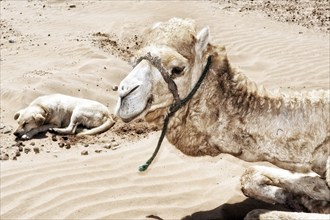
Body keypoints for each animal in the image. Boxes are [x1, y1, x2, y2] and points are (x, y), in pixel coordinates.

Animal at [114, 18, 328, 219]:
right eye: (134, 61)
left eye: (177, 69)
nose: (124, 94)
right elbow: (250, 175)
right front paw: (306, 199)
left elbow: (255, 213)